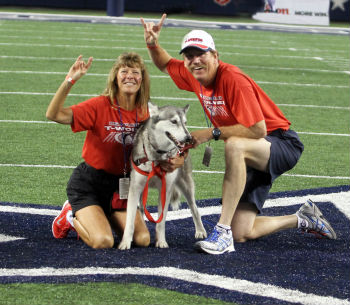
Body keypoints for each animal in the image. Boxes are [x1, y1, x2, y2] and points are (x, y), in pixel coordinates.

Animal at [119, 102, 206, 249]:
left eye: (185, 122)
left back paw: (200, 231)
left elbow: (161, 221)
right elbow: (130, 219)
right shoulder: (135, 187)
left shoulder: (166, 188)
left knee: (194, 208)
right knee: (141, 210)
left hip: (186, 184)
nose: (188, 138)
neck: (157, 156)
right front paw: (125, 242)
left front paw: (161, 241)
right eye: (174, 121)